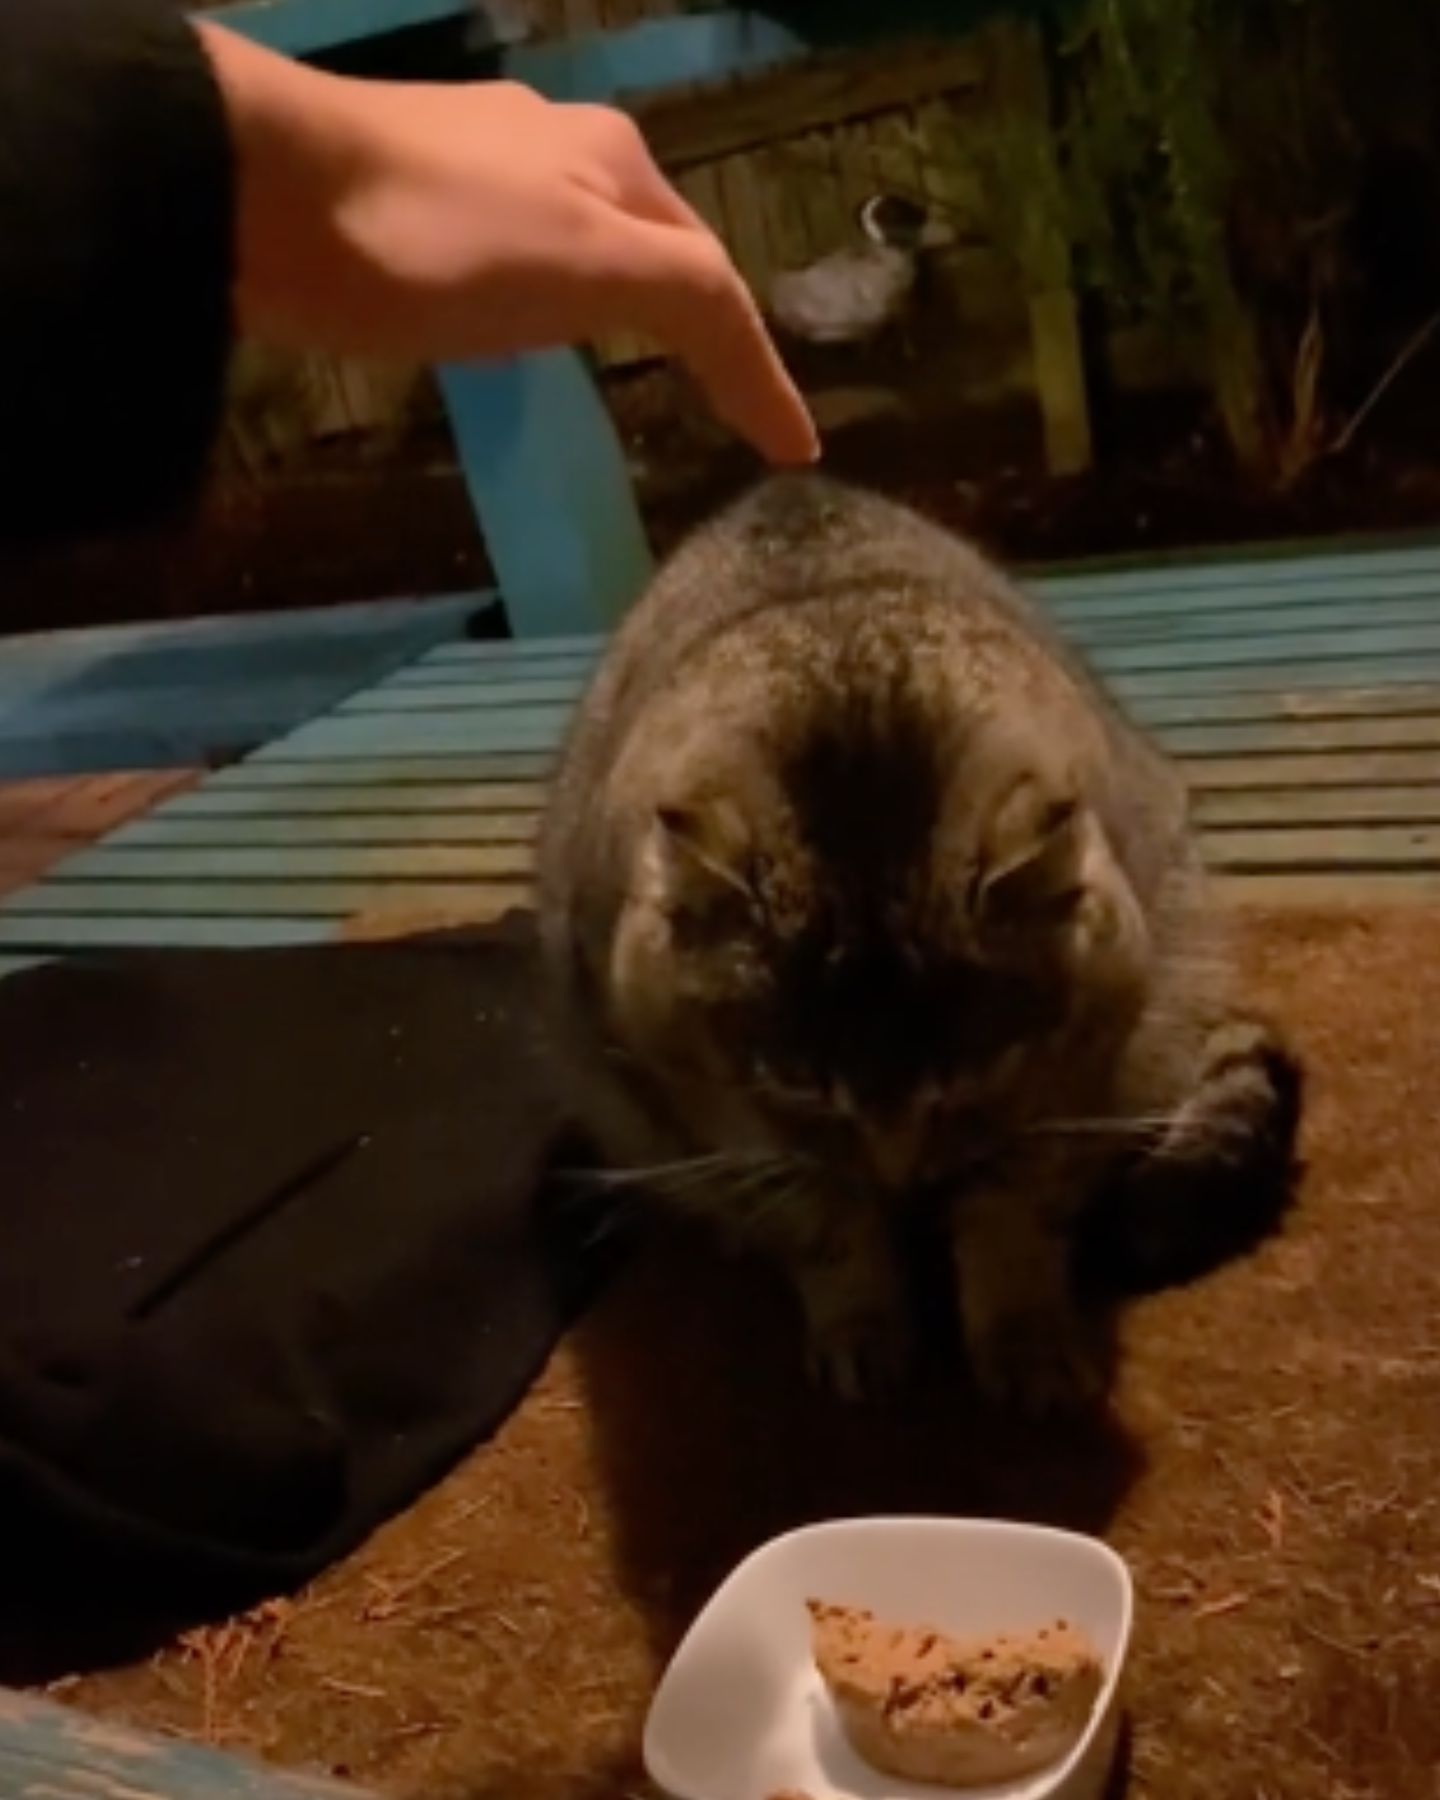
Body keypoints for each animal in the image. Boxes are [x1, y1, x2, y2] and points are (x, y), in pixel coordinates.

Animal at [532, 471, 1296, 1411]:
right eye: (799, 1085)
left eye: (974, 1074)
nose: (901, 1183)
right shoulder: (720, 1125)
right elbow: (824, 1225)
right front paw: (862, 1325)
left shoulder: (1074, 1091)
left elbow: (1015, 1220)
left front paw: (1025, 1338)